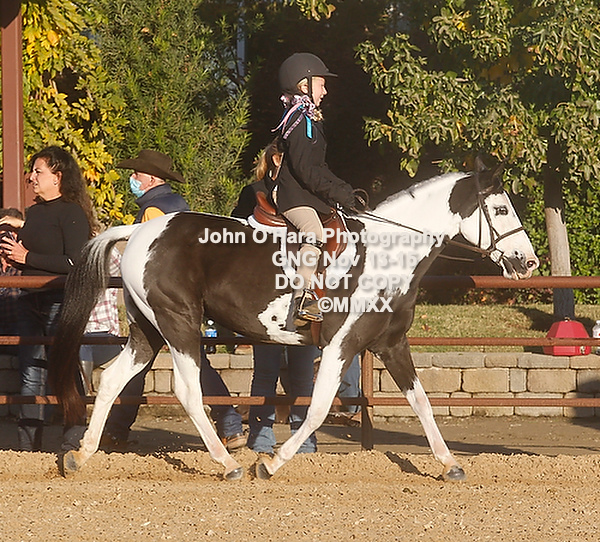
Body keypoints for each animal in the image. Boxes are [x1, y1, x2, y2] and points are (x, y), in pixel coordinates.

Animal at [49, 159, 538, 482]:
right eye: (500, 210)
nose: (528, 261)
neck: (388, 254)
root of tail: (142, 231)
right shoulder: (342, 345)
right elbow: (318, 408)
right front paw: (270, 463)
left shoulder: (391, 345)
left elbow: (421, 403)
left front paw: (450, 464)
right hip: (179, 324)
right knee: (187, 391)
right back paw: (229, 464)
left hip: (148, 330)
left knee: (111, 380)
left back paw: (80, 456)